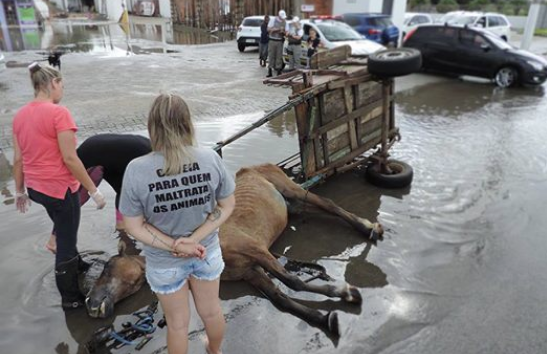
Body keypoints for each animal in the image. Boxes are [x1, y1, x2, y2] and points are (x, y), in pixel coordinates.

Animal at [86, 163, 386, 334]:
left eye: (108, 267)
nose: (91, 304)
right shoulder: (250, 272)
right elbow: (281, 298)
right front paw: (324, 320)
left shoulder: (255, 250)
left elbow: (293, 282)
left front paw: (346, 293)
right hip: (293, 206)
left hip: (293, 191)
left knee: (330, 205)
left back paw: (369, 228)